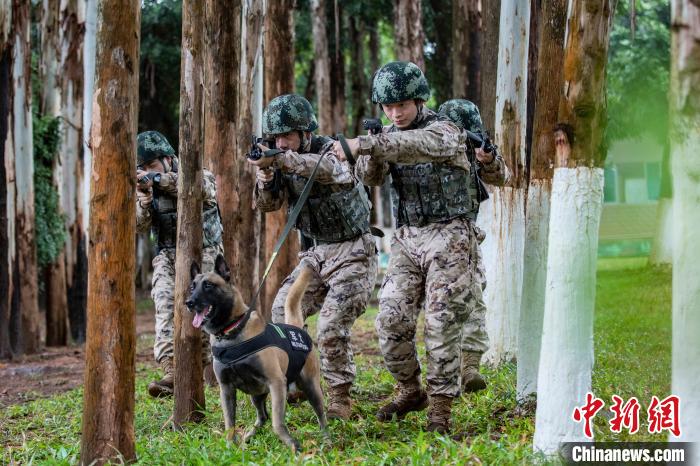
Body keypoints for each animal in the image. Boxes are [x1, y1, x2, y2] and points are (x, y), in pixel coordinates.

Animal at [186, 255, 328, 452]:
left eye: (208, 285)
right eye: (192, 286)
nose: (188, 302)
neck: (232, 332)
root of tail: (296, 327)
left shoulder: (277, 383)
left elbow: (277, 423)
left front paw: (292, 445)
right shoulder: (226, 389)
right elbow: (230, 423)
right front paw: (230, 447)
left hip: (311, 387)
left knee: (321, 416)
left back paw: (327, 439)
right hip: (257, 394)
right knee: (263, 417)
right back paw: (249, 435)